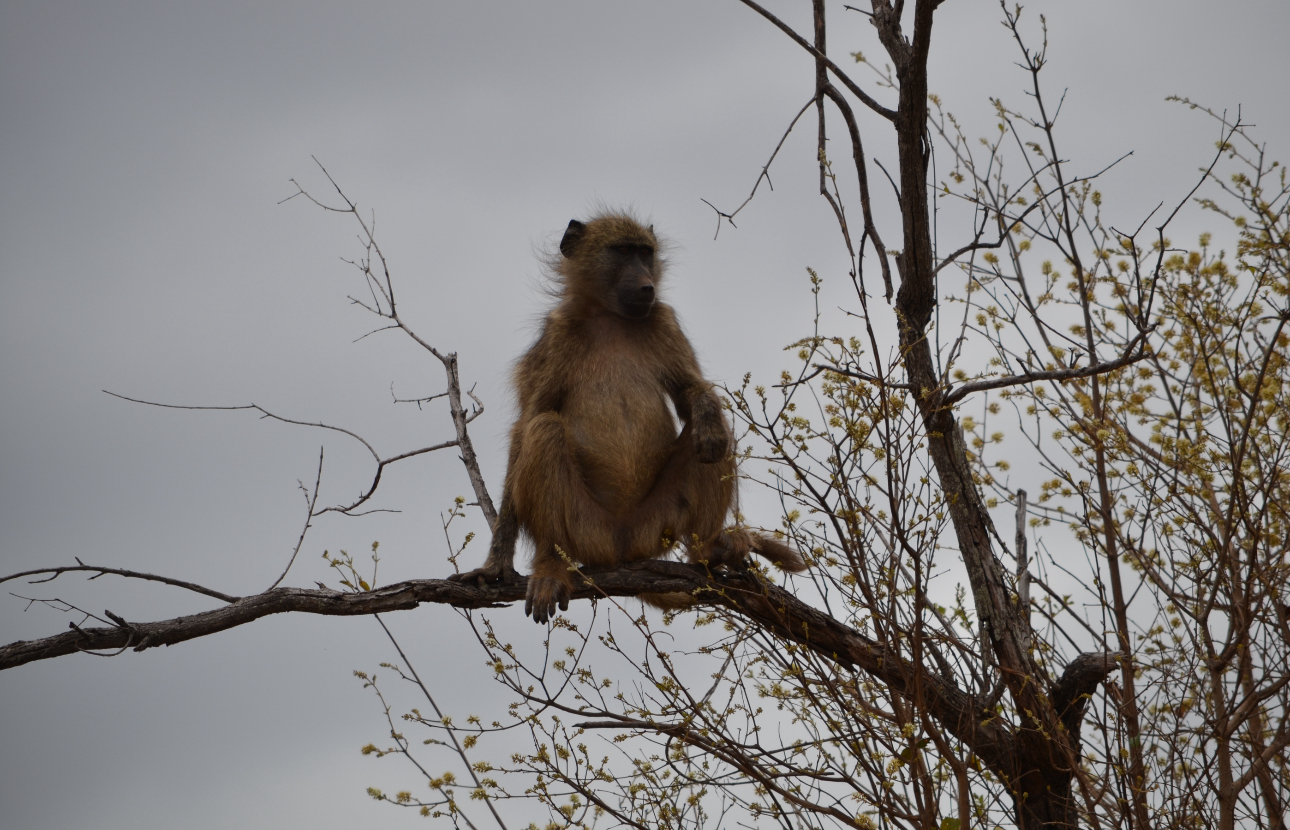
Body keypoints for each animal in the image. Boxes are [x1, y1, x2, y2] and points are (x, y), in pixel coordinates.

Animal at [450, 212, 806, 623]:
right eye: (622, 251)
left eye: (645, 252)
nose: (647, 285)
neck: (611, 318)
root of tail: (621, 549)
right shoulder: (556, 334)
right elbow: (527, 426)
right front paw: (495, 566)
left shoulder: (664, 320)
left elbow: (690, 393)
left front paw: (705, 413)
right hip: (587, 531)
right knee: (545, 430)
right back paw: (551, 566)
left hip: (656, 525)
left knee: (713, 436)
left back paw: (709, 548)